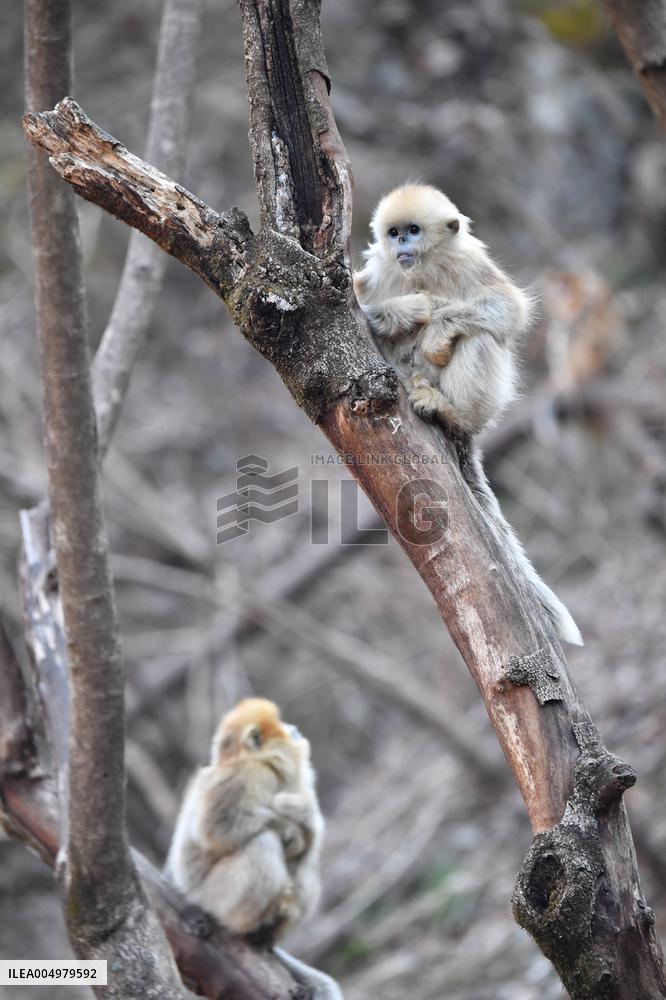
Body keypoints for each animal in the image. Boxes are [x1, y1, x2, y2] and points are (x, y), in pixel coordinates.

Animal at [164, 698, 324, 939]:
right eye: (281, 724)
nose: (293, 727)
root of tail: (187, 892)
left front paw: (299, 817)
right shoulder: (247, 774)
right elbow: (215, 828)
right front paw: (289, 829)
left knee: (306, 867)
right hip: (214, 895)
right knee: (263, 843)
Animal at [353, 183, 583, 646]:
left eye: (413, 230)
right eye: (393, 233)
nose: (401, 246)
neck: (420, 271)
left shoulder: (468, 260)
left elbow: (508, 308)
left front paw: (435, 326)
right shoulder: (373, 274)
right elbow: (360, 300)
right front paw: (411, 310)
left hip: (480, 402)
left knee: (480, 334)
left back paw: (449, 411)